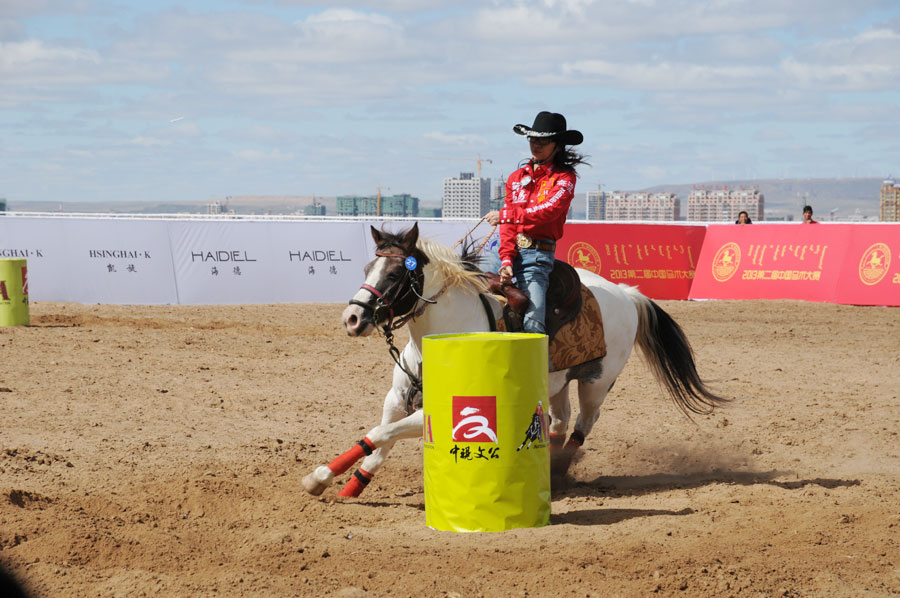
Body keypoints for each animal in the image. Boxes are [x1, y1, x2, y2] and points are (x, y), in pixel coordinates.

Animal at [306, 223, 728, 500]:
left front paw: (322, 477)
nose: (352, 318)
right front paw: (337, 480)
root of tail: (627, 292)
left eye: (395, 273)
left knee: (583, 423)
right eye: (367, 269)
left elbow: (380, 435)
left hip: (597, 381)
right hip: (557, 380)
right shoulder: (397, 398)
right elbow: (378, 438)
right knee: (559, 421)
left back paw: (558, 472)